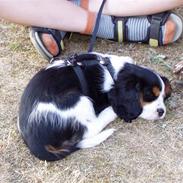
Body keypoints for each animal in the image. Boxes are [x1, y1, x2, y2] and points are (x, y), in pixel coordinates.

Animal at [17, 52, 171, 160]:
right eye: (149, 95)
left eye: (163, 97)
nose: (162, 112)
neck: (114, 72)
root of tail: (33, 141)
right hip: (78, 100)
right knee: (90, 129)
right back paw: (109, 112)